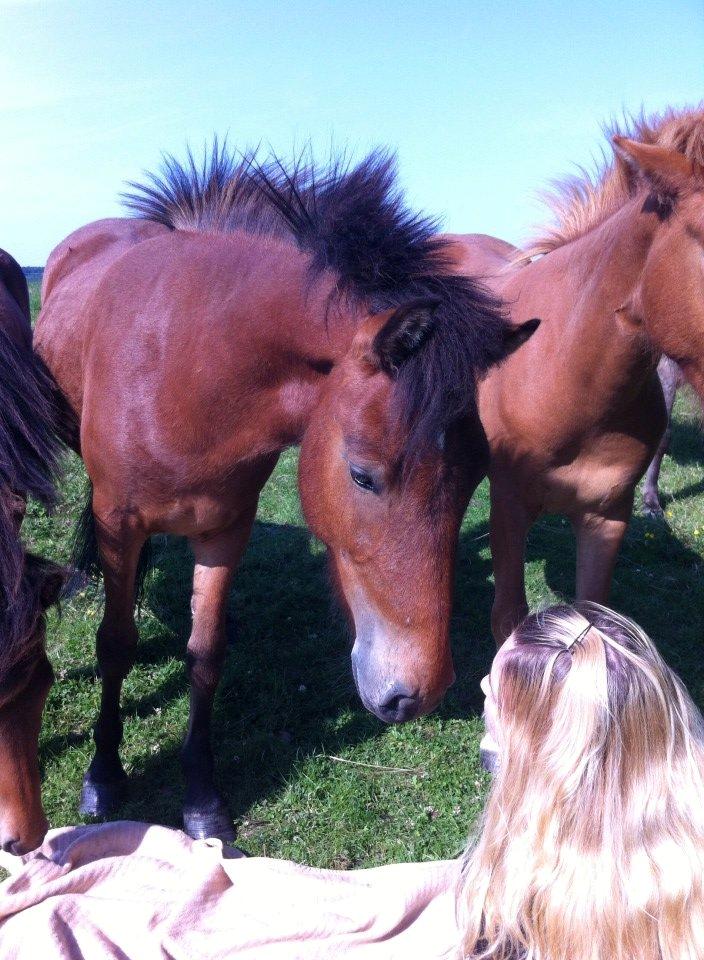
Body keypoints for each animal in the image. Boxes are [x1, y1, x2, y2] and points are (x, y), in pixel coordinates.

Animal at [35, 146, 536, 844]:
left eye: (474, 479)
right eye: (362, 474)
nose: (420, 692)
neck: (186, 365)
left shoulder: (225, 526)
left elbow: (206, 654)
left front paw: (202, 799)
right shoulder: (119, 519)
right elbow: (115, 644)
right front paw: (103, 776)